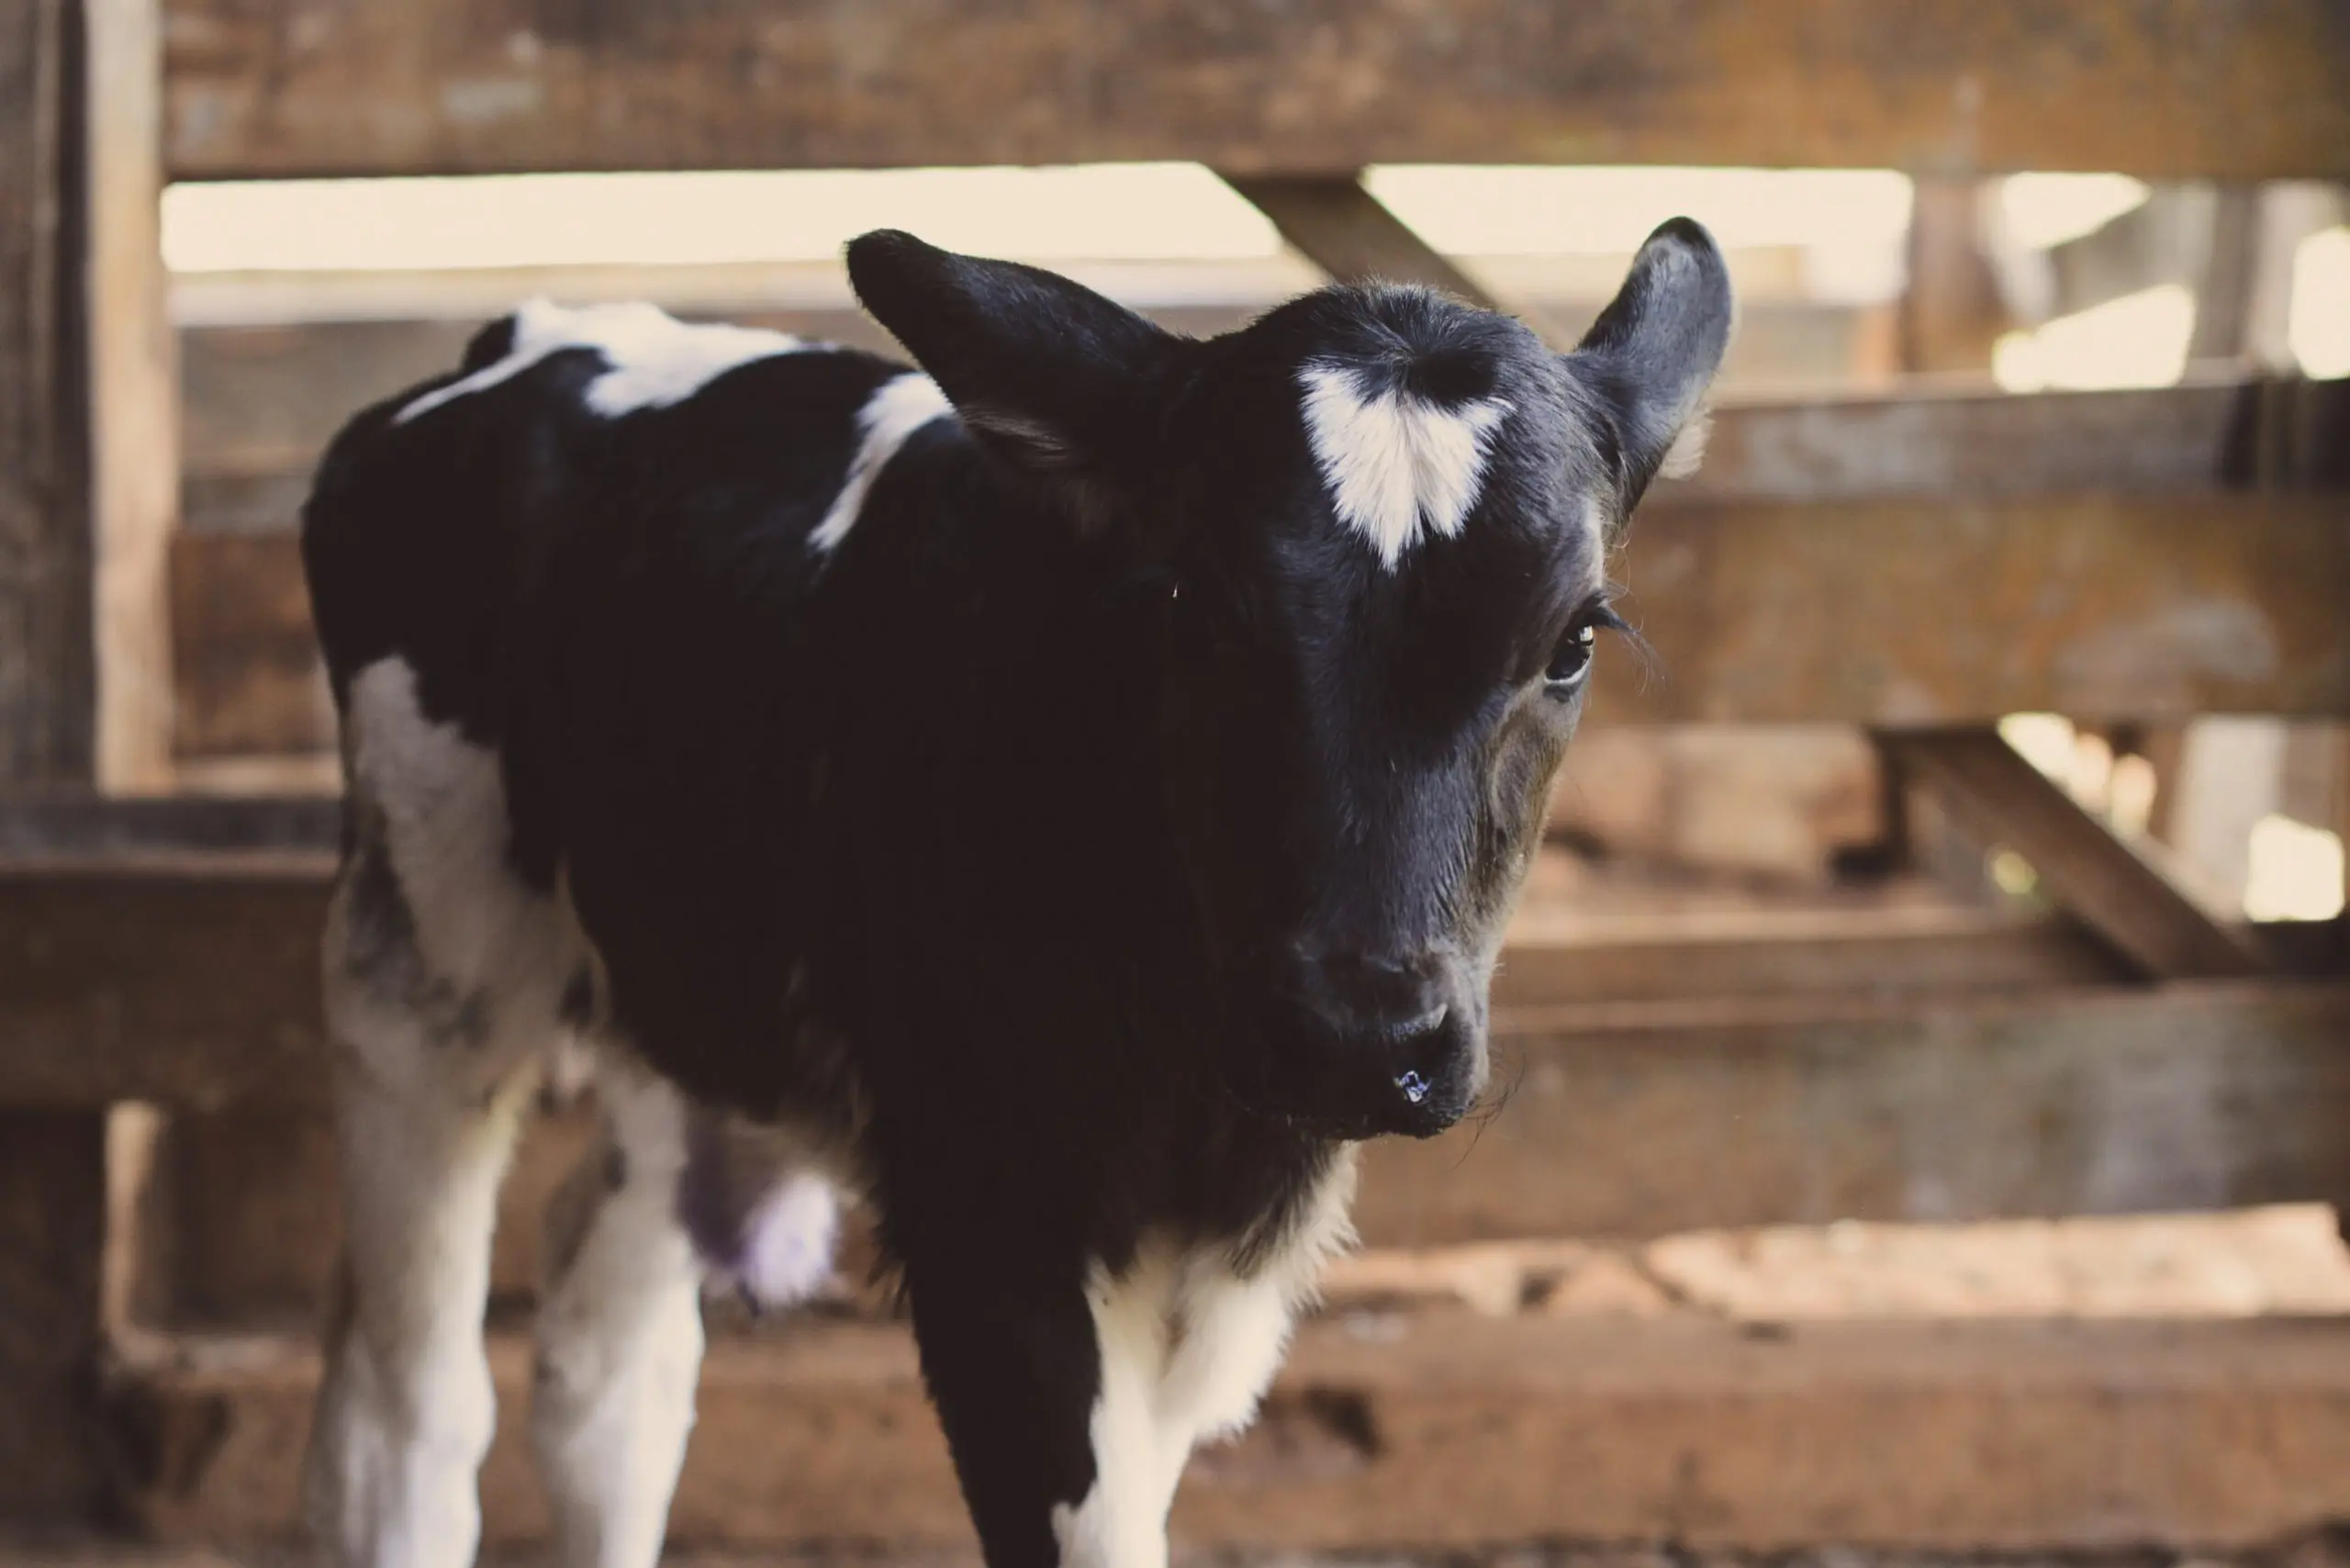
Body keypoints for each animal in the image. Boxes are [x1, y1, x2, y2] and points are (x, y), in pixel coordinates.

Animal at [294, 217, 1739, 1568]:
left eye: (1571, 640)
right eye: (1195, 604)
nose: (1357, 1035)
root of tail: (537, 333)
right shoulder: (991, 1226)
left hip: (684, 998)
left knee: (611, 1371)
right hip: (418, 969)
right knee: (407, 1413)